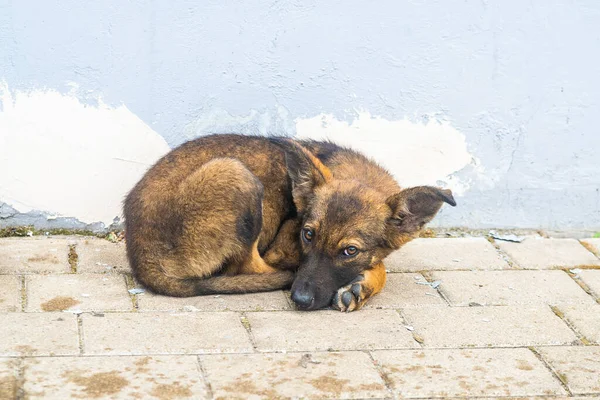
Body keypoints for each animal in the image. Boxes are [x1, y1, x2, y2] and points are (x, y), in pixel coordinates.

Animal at [124, 133, 458, 310]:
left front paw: (359, 285)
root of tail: (139, 252)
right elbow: (382, 267)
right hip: (236, 174)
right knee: (247, 267)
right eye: (307, 234)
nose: (300, 299)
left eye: (350, 251)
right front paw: (362, 282)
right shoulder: (283, 247)